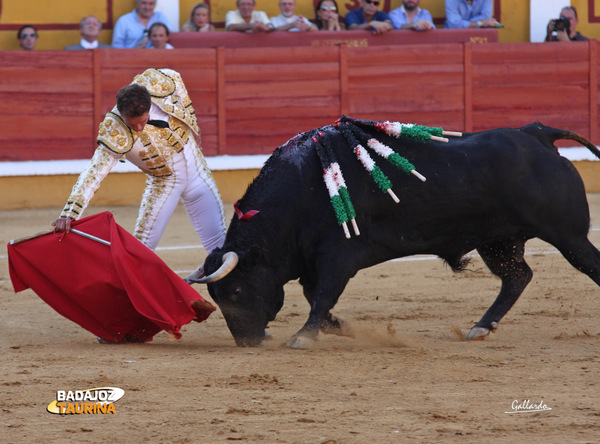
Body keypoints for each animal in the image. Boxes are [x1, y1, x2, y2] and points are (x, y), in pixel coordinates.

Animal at [190, 120, 600, 346]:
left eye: (236, 291)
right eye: (216, 296)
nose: (246, 341)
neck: (302, 192)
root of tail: (537, 134)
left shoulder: (337, 257)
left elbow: (321, 296)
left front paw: (303, 336)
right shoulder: (312, 262)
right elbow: (314, 296)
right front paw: (339, 327)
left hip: (568, 236)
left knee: (587, 264)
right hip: (497, 242)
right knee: (517, 276)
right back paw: (481, 327)